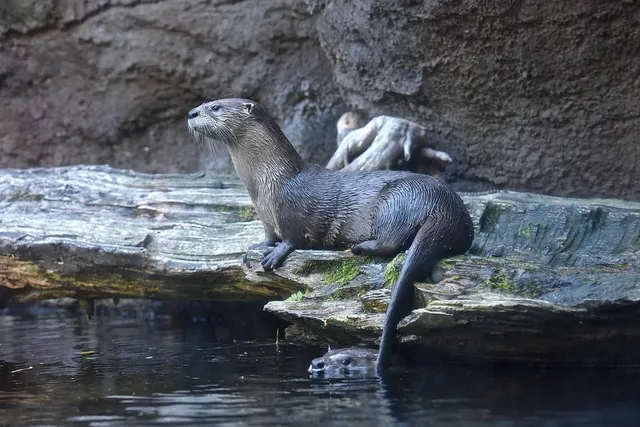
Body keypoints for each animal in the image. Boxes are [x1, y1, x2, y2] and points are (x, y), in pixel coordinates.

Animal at [187, 98, 474, 373]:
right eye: (206, 103)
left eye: (215, 107)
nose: (191, 113)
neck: (267, 184)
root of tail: (447, 208)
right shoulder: (266, 216)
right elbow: (268, 234)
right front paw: (257, 247)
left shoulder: (291, 211)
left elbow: (293, 238)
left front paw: (274, 254)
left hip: (396, 200)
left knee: (392, 242)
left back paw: (359, 247)